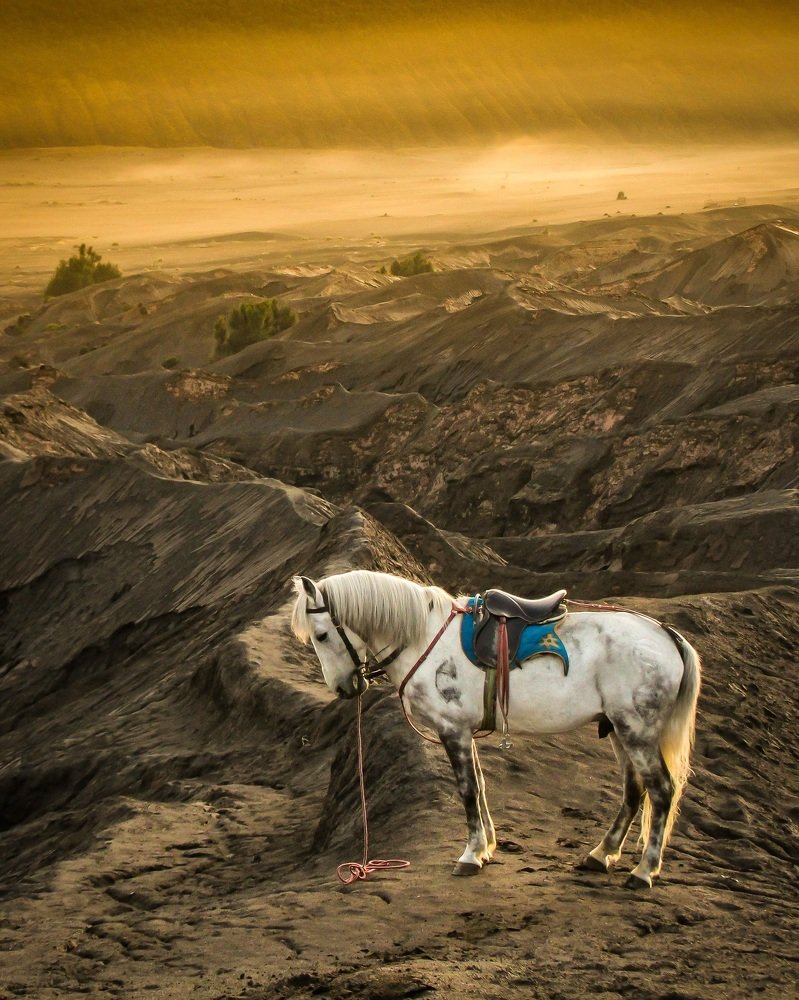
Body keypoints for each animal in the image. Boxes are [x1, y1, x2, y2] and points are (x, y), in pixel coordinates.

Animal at [291, 569, 701, 889]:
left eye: (322, 635)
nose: (345, 688)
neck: (423, 638)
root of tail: (667, 635)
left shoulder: (452, 729)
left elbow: (468, 789)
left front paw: (471, 854)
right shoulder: (464, 730)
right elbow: (482, 785)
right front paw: (487, 846)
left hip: (636, 729)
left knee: (661, 790)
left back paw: (644, 871)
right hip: (617, 728)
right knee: (634, 790)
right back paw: (602, 854)